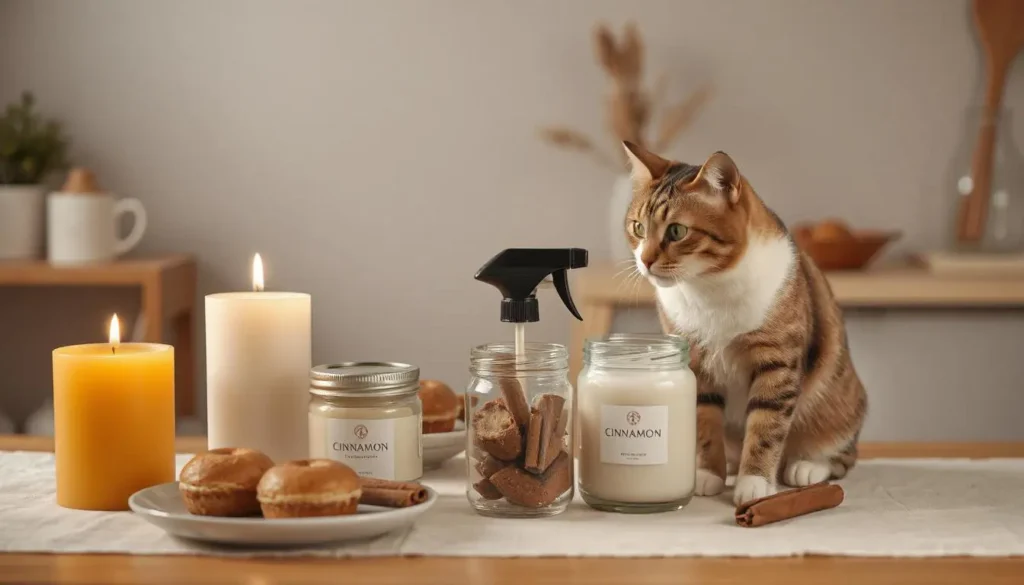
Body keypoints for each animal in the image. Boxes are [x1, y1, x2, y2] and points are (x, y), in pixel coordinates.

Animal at [618, 140, 868, 504]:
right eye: (638, 228)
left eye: (677, 231)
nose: (646, 261)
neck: (708, 288)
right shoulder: (696, 363)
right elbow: (705, 421)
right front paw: (709, 474)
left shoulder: (777, 363)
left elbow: (766, 424)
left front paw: (755, 483)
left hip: (839, 405)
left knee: (843, 455)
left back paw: (806, 467)